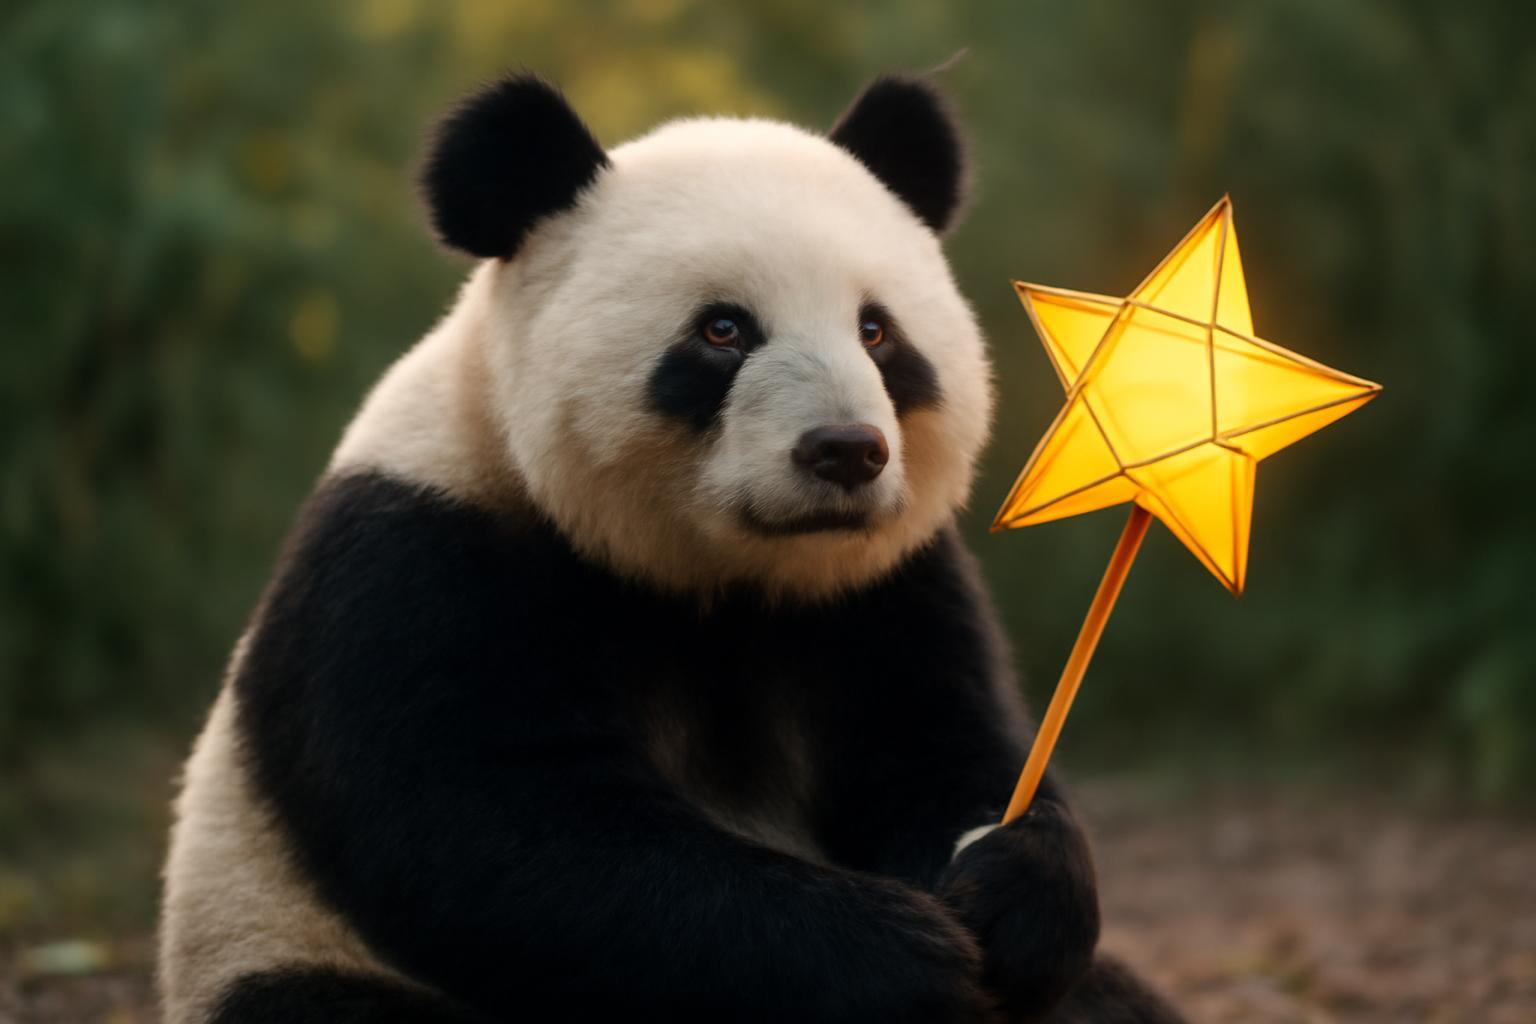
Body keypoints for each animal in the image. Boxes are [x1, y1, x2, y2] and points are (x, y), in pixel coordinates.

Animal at [158, 73, 1186, 1024]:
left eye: (877, 330)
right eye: (722, 329)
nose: (845, 451)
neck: (716, 577)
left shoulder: (882, 588)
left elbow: (936, 745)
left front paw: (1012, 888)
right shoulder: (424, 555)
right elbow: (507, 829)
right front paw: (901, 959)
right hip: (278, 939)